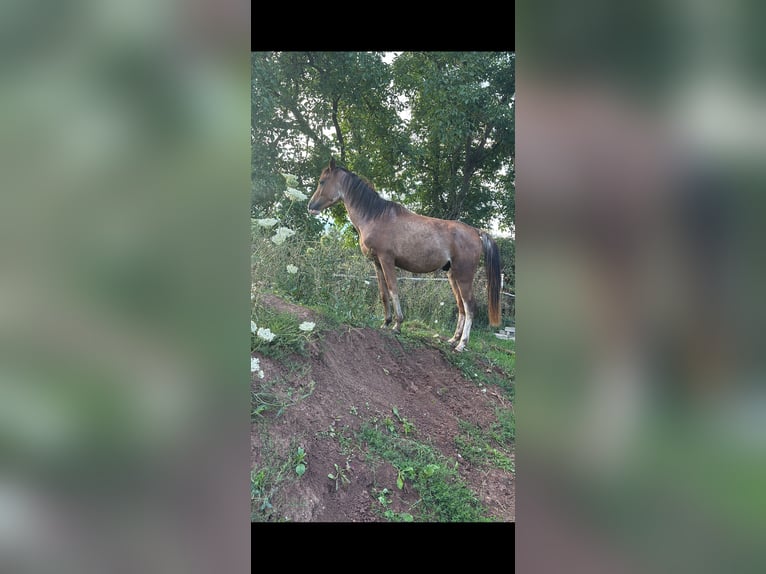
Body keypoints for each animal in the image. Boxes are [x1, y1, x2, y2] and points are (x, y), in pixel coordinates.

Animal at [308, 158, 501, 352]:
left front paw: (397, 325)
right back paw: (453, 340)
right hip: (452, 275)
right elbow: (383, 293)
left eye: (322, 181)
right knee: (461, 306)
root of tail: (476, 232)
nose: (310, 206)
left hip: (464, 276)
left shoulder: (387, 260)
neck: (375, 216)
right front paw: (386, 323)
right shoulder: (377, 263)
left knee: (470, 306)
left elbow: (393, 289)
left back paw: (462, 344)